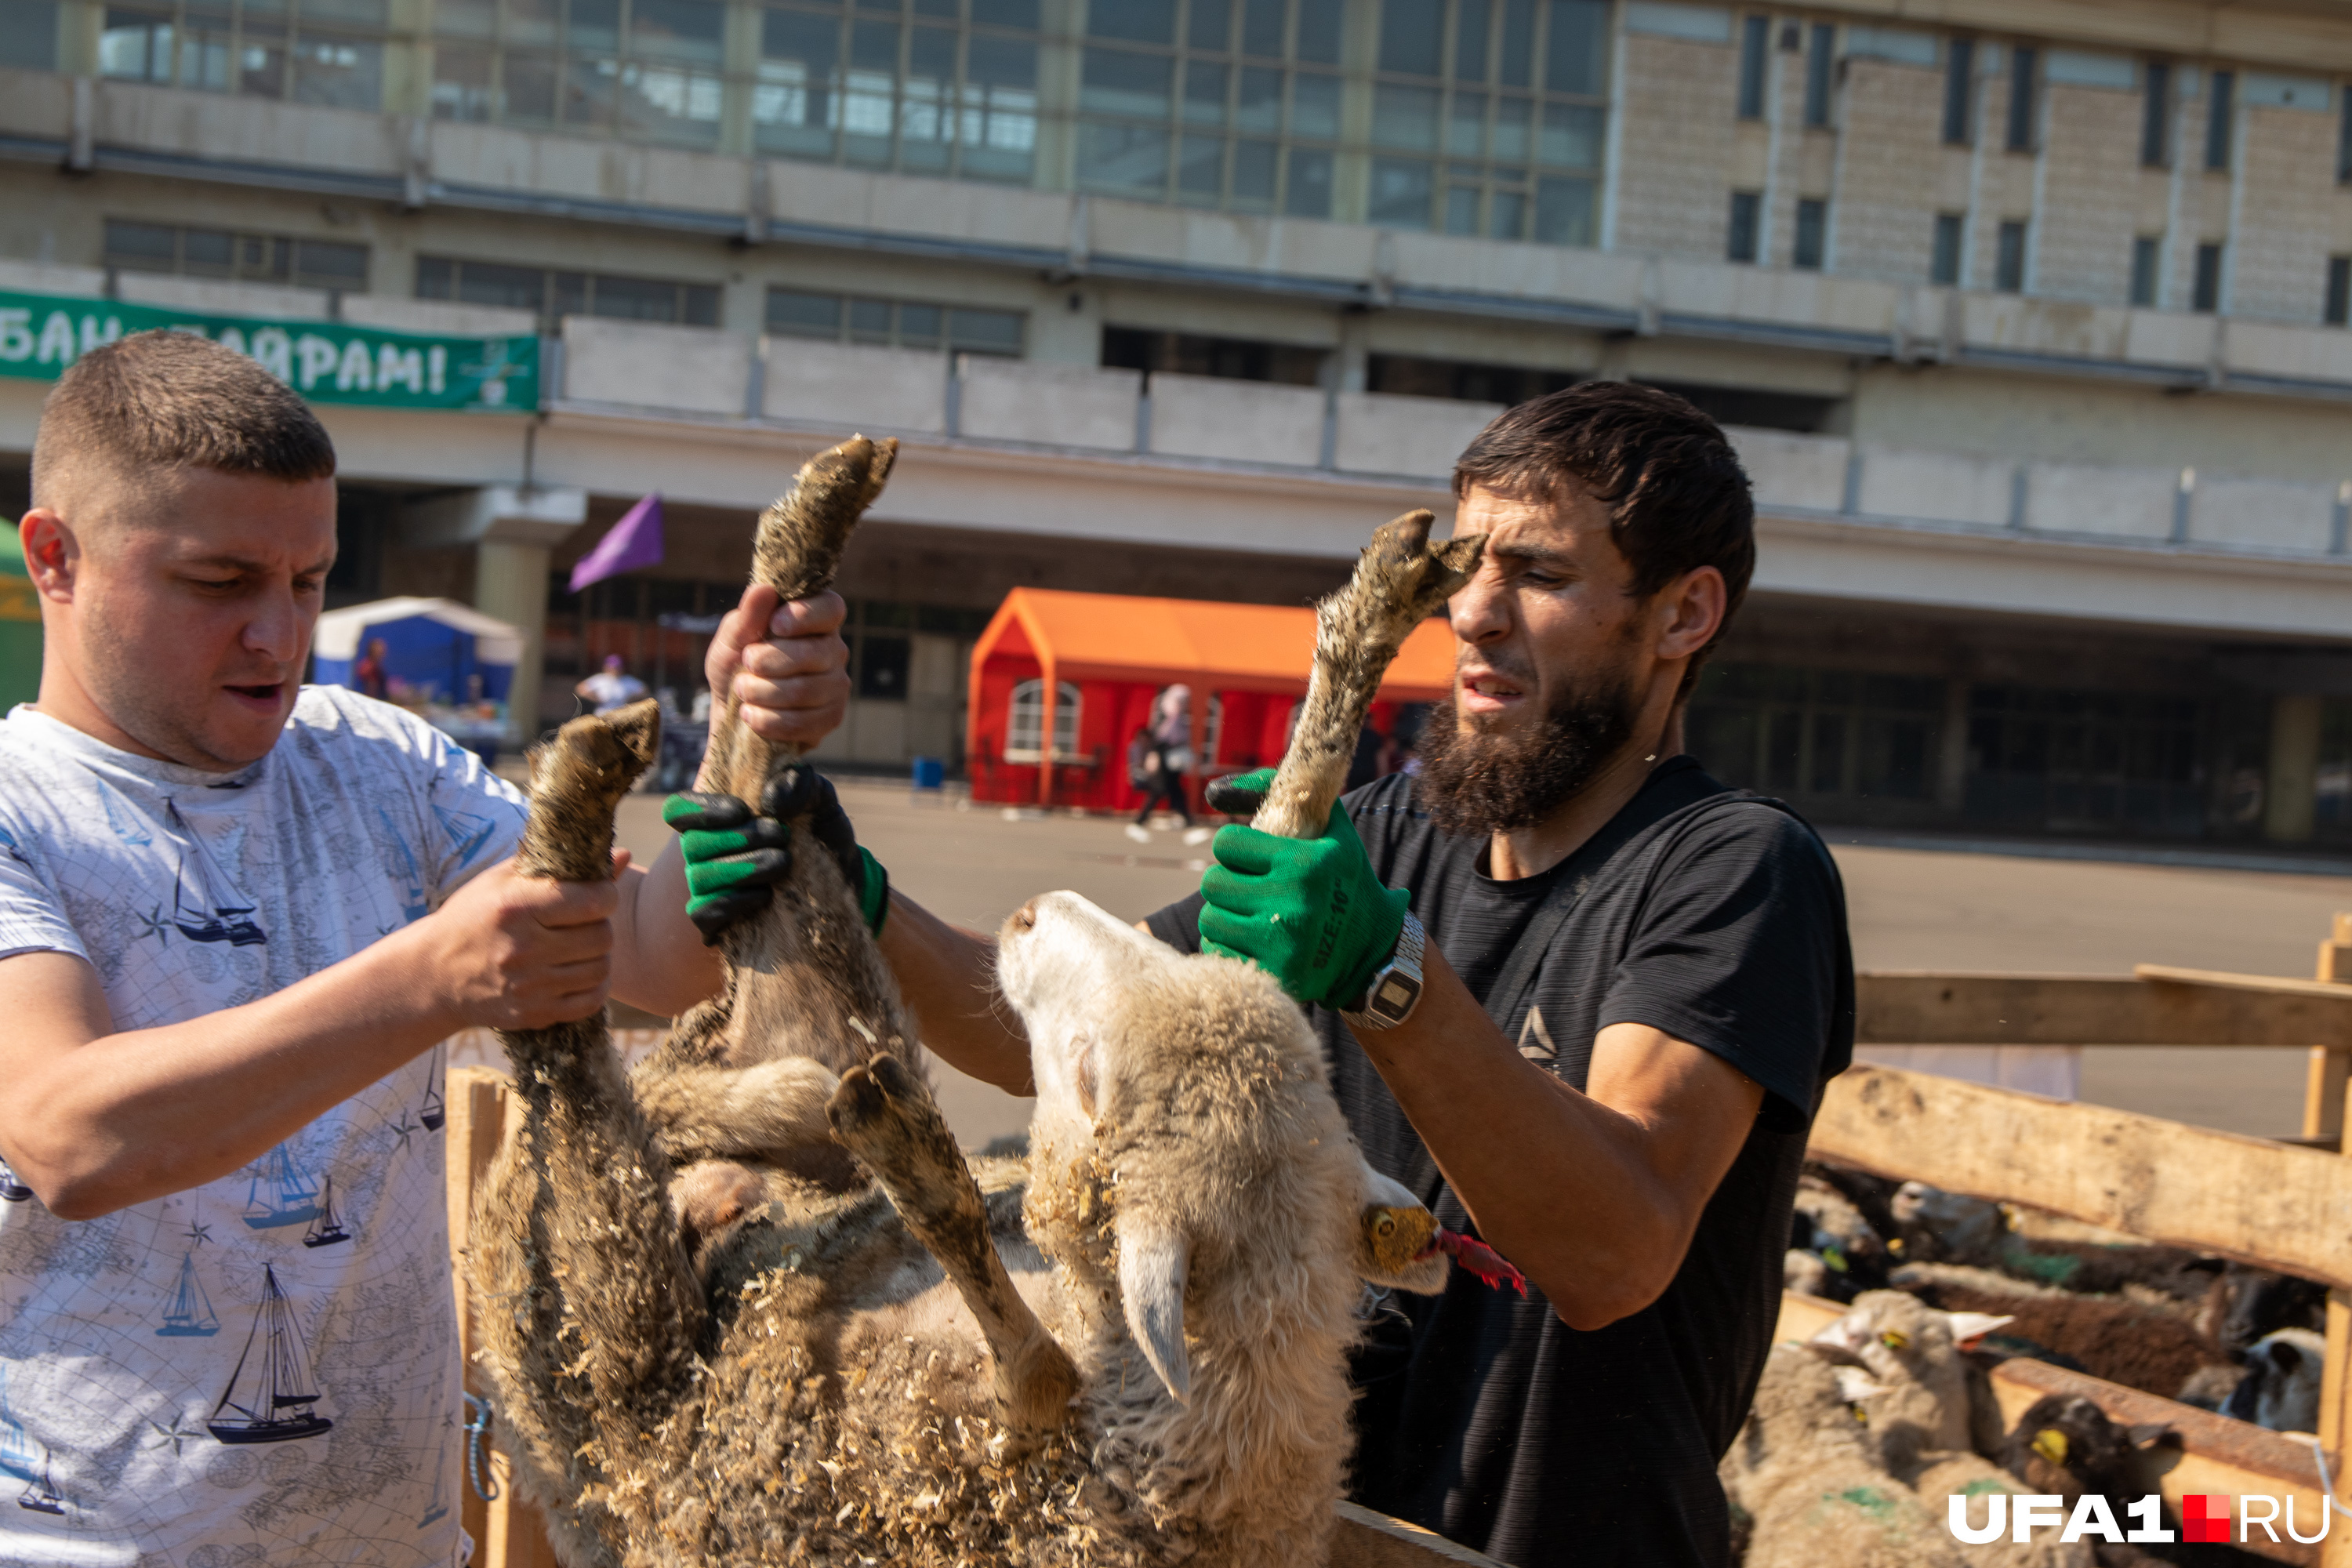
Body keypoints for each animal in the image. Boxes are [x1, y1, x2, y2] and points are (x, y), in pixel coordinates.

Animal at [466, 432, 1486, 1568]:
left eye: (1088, 1076)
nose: (1033, 914)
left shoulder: (1002, 1434)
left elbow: (1026, 1359)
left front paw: (908, 1144)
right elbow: (1282, 823)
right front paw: (1373, 616)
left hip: (603, 1330)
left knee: (571, 1059)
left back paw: (592, 792)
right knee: (747, 824)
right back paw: (788, 592)